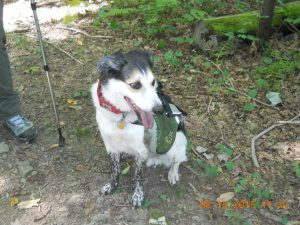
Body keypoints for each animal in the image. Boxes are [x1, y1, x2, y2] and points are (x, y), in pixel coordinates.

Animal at [90, 48, 186, 206]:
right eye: (135, 85)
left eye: (153, 82)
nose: (159, 110)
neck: (121, 117)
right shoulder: (111, 146)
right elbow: (115, 171)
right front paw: (112, 186)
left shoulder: (141, 151)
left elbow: (138, 175)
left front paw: (138, 195)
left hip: (175, 143)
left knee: (179, 160)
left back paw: (173, 173)